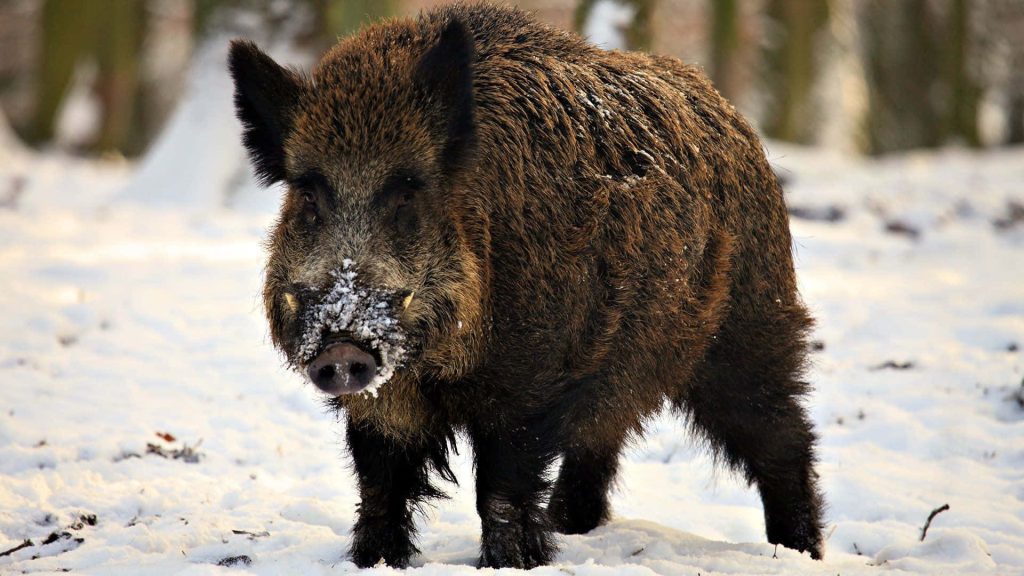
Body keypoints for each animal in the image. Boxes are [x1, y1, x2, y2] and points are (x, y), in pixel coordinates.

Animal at [229, 2, 824, 569]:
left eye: (407, 191)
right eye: (309, 194)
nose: (342, 347)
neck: (436, 366)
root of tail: (732, 118)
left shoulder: (530, 379)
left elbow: (500, 490)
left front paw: (509, 563)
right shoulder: (384, 401)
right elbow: (381, 485)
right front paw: (372, 561)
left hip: (749, 326)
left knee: (782, 433)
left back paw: (799, 551)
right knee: (602, 438)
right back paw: (571, 528)